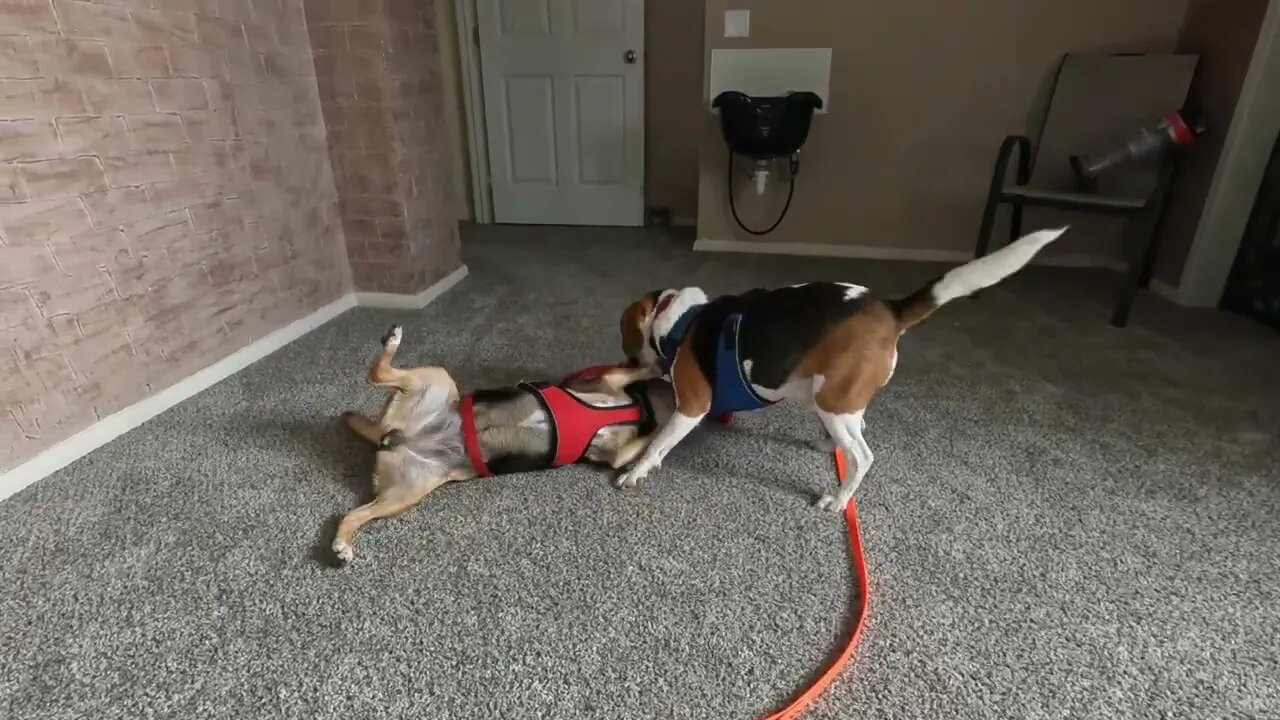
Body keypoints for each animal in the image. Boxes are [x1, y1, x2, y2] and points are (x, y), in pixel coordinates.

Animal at [335, 322, 675, 563]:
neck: (632, 408)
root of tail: (392, 434)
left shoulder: (617, 451)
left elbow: (643, 438)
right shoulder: (611, 386)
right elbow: (642, 389)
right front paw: (656, 371)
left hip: (406, 492)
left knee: (352, 514)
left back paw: (341, 545)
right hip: (436, 379)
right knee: (377, 373)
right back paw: (393, 339)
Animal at [614, 225, 1064, 509]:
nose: (630, 364)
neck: (683, 319)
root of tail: (890, 309)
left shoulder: (691, 405)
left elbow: (658, 444)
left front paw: (636, 472)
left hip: (833, 399)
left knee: (862, 456)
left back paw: (838, 499)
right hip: (834, 396)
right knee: (856, 430)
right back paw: (828, 448)